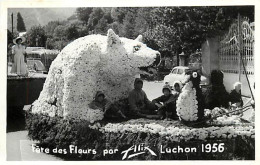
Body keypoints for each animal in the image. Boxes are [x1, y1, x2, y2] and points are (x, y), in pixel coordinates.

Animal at [31, 29, 159, 122]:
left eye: (145, 45)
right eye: (136, 48)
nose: (158, 55)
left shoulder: (125, 79)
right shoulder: (83, 63)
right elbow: (74, 102)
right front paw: (92, 113)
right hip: (52, 84)